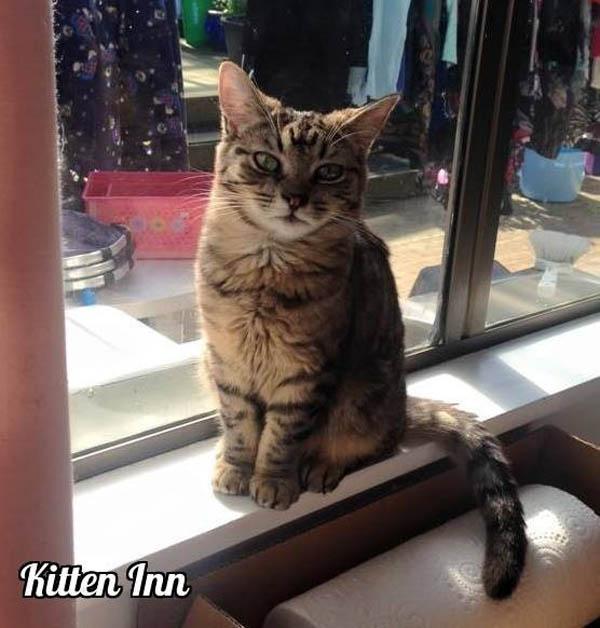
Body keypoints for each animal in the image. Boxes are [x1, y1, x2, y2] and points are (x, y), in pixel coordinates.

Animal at [197, 61, 527, 599]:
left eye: (328, 171)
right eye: (267, 161)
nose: (294, 198)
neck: (268, 268)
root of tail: (401, 407)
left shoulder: (306, 373)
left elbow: (281, 435)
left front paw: (273, 479)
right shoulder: (224, 361)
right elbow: (241, 422)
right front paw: (236, 465)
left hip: (362, 393)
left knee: (376, 446)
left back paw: (323, 465)